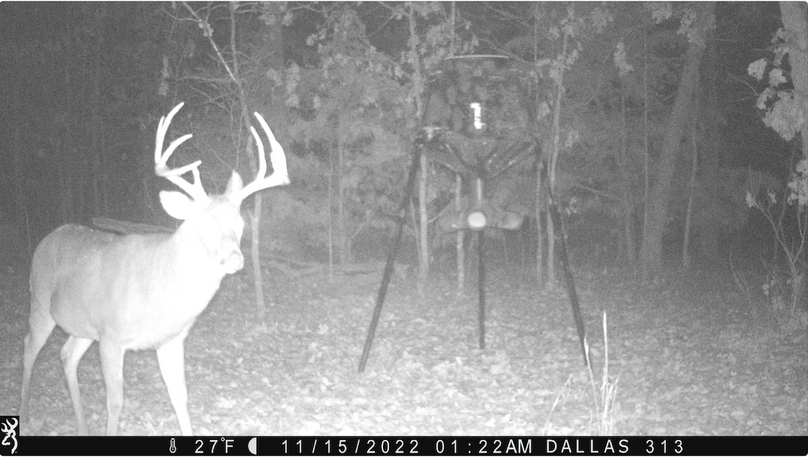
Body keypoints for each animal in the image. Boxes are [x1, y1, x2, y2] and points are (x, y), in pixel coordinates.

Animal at [19, 102, 289, 436]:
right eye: (203, 223)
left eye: (240, 224)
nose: (234, 258)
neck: (161, 291)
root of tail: (48, 237)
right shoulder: (112, 335)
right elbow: (115, 402)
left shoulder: (171, 339)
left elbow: (180, 398)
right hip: (40, 302)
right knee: (29, 348)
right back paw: (23, 415)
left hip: (83, 327)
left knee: (66, 355)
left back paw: (80, 426)